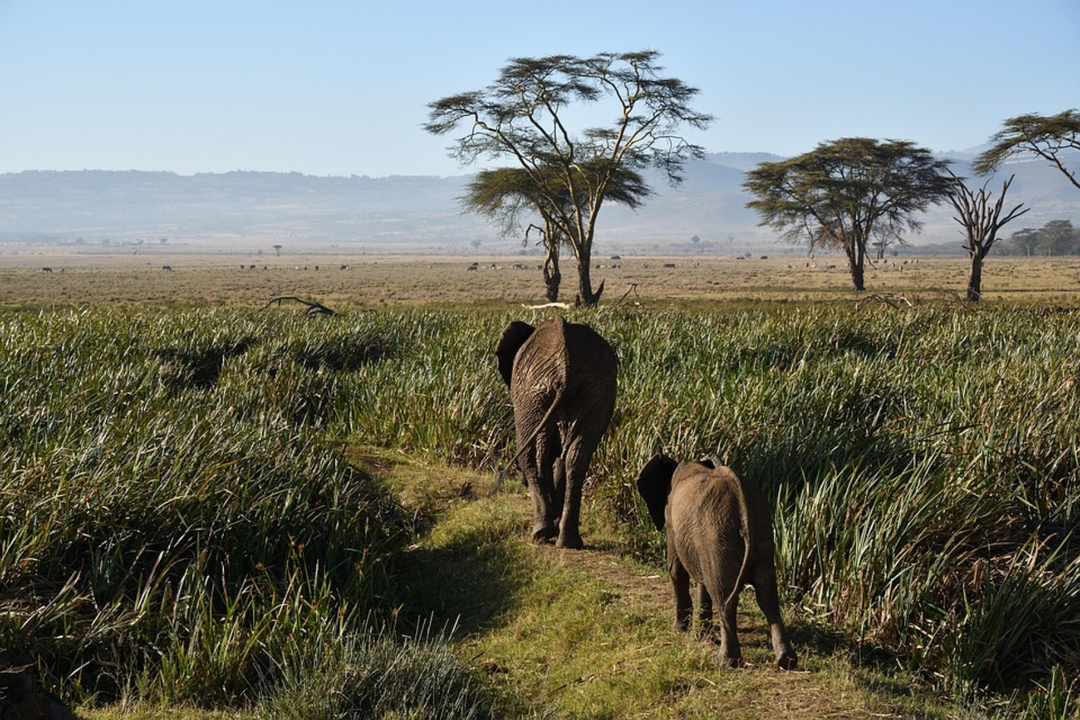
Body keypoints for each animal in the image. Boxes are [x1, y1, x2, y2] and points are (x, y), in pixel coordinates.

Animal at [494, 316, 617, 549]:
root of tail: (565, 368)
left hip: (532, 396)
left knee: (532, 454)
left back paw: (542, 532)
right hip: (595, 393)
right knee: (576, 457)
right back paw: (569, 541)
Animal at [635, 453, 798, 670]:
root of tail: (743, 504)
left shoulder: (671, 519)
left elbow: (676, 570)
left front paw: (679, 630)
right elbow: (701, 581)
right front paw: (700, 637)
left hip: (717, 538)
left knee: (724, 596)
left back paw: (725, 662)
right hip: (762, 535)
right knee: (768, 597)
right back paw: (786, 661)